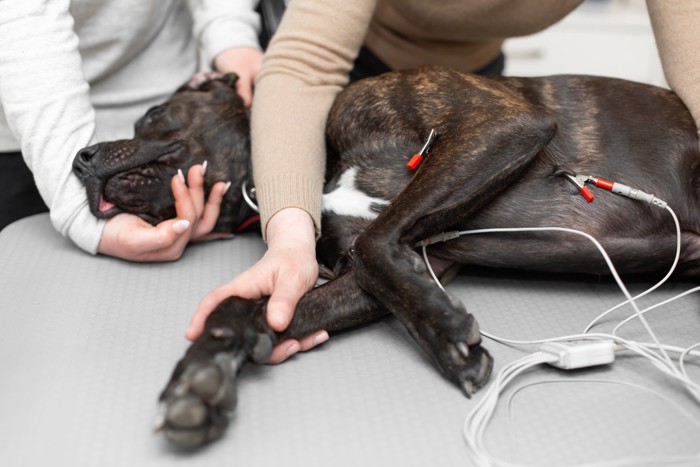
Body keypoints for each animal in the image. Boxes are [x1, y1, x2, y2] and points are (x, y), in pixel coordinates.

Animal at [72, 65, 700, 446]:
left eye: (152, 116)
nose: (79, 159)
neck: (315, 168)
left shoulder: (498, 124)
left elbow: (376, 243)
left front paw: (446, 332)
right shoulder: (397, 266)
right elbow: (246, 309)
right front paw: (198, 381)